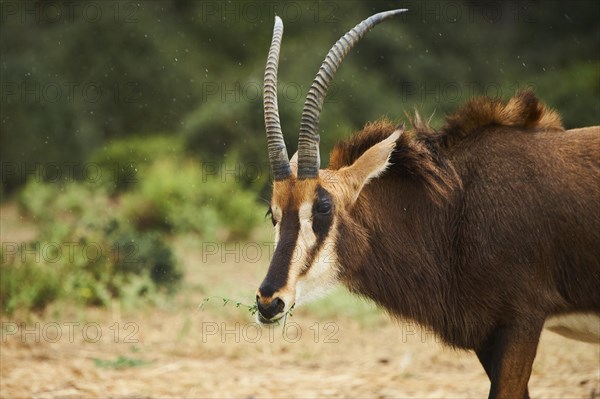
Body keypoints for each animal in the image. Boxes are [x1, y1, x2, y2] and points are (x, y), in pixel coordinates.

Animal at [256, 10, 600, 399]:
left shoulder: (522, 322)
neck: (456, 209)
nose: (269, 301)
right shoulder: (487, 337)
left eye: (323, 207)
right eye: (273, 213)